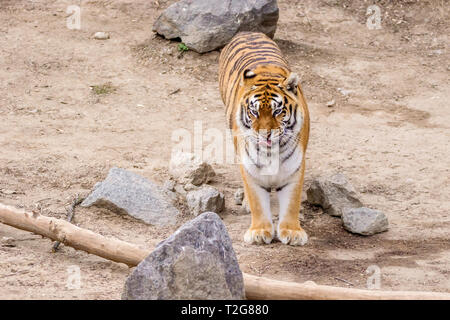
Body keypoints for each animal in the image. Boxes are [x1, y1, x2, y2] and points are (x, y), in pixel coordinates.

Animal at [218, 31, 310, 245]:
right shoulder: (250, 167)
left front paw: (292, 232)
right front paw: (259, 232)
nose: (264, 133)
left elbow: (292, 202)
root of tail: (248, 31)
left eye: (277, 111)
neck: (271, 152)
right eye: (254, 112)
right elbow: (257, 201)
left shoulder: (295, 167)